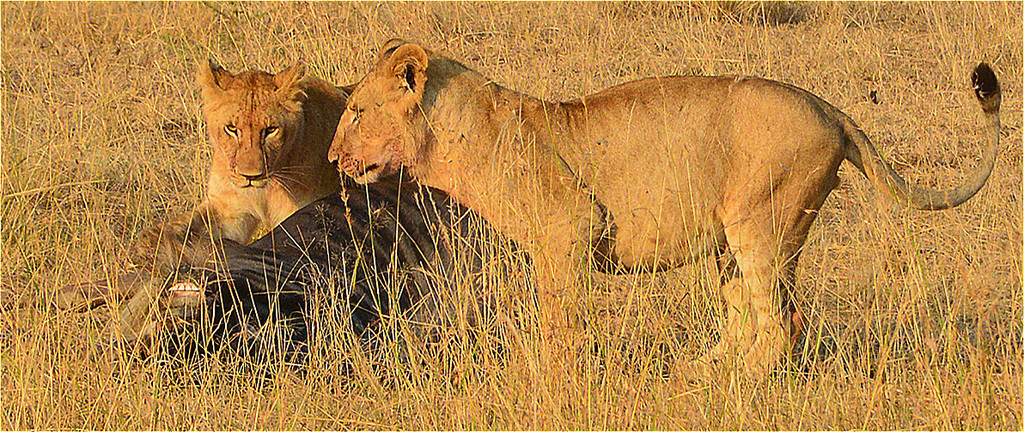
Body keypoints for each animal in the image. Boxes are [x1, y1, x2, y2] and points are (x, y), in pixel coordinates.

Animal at [58, 60, 350, 311]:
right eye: (232, 129)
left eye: (270, 130)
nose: (251, 175)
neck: (267, 187)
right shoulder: (231, 210)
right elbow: (192, 226)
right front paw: (154, 243)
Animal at [329, 41, 999, 378]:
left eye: (357, 109)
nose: (334, 157)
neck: (459, 131)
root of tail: (831, 109)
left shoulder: (570, 229)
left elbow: (558, 317)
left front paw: (556, 373)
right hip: (736, 240)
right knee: (748, 313)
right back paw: (705, 369)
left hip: (761, 223)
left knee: (782, 323)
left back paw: (743, 383)